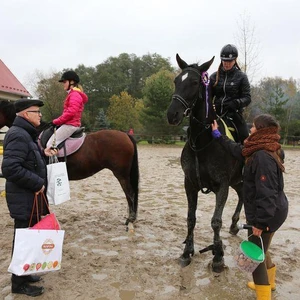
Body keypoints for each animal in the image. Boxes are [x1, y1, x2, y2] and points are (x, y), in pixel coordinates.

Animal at [165, 54, 245, 272]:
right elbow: (191, 219)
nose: (172, 115)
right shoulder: (190, 184)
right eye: (176, 81)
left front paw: (217, 256)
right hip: (237, 181)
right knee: (242, 195)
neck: (203, 142)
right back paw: (234, 225)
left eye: (194, 83)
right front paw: (187, 252)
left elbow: (215, 221)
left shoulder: (222, 186)